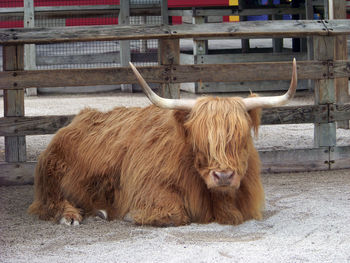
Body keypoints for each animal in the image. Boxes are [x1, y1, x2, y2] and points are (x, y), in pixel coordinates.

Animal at [28, 59, 298, 227]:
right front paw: (130, 216)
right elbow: (175, 215)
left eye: (241, 137)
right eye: (200, 141)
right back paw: (74, 215)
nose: (223, 176)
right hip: (51, 176)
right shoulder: (148, 187)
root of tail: (78, 118)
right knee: (49, 202)